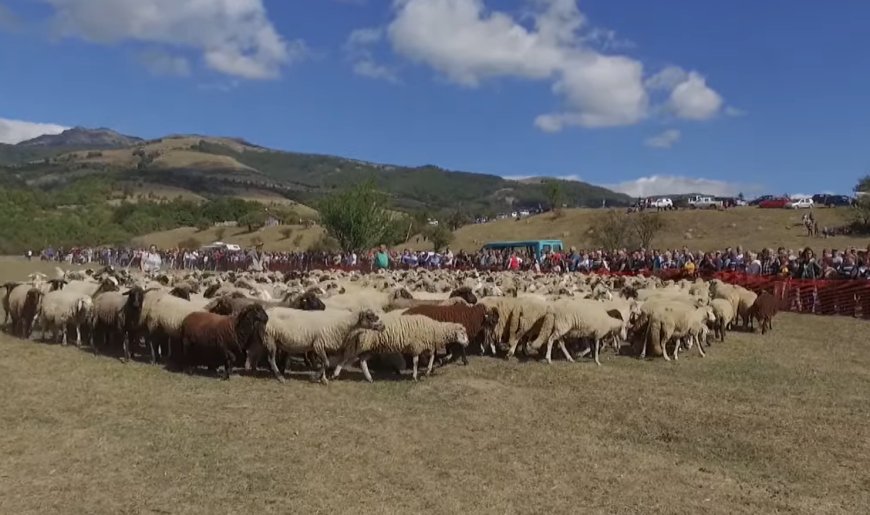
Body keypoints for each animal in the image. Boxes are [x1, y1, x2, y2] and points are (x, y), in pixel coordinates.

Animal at [334, 310, 470, 382]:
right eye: (463, 333)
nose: (467, 343)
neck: (435, 329)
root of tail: (359, 324)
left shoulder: (427, 345)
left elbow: (431, 357)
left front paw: (428, 370)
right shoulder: (416, 346)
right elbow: (416, 361)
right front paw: (414, 376)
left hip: (371, 347)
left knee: (362, 361)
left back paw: (369, 378)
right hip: (360, 345)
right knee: (345, 358)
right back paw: (335, 374)